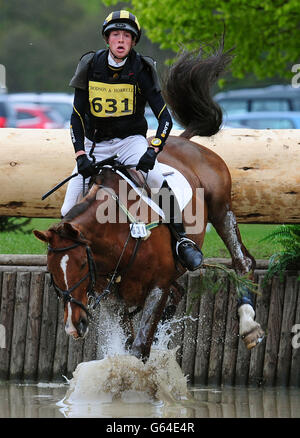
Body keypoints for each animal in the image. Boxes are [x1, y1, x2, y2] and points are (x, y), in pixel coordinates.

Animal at [34, 44, 264, 362]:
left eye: (81, 264)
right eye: (52, 270)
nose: (74, 326)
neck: (117, 234)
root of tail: (186, 140)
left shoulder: (157, 286)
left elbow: (138, 348)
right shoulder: (114, 301)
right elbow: (127, 346)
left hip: (221, 209)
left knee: (242, 262)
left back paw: (250, 326)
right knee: (180, 293)